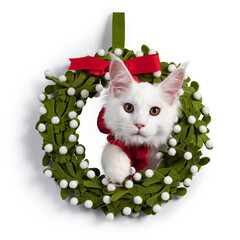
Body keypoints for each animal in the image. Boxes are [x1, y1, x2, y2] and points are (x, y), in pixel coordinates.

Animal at [100, 53, 187, 183]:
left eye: (154, 111)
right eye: (128, 107)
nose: (139, 124)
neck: (140, 152)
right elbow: (111, 146)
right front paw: (117, 169)